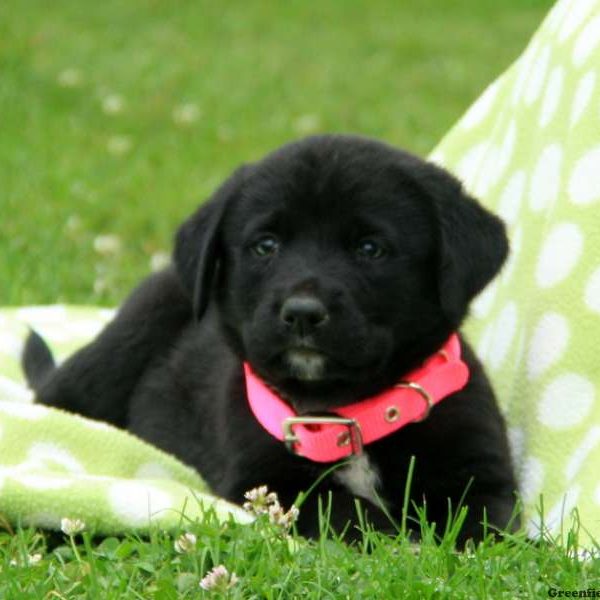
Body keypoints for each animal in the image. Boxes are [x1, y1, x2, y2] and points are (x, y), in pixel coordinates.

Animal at [23, 136, 516, 544]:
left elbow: (478, 523)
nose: (302, 313)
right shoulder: (267, 481)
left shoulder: (480, 473)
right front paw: (395, 541)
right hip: (127, 337)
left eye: (370, 248)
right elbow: (343, 509)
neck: (345, 416)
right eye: (266, 245)